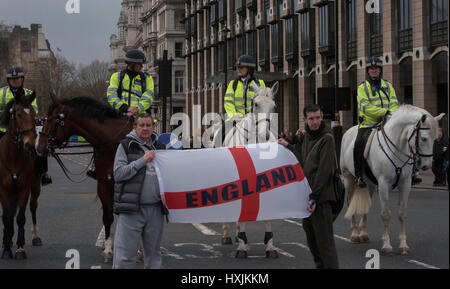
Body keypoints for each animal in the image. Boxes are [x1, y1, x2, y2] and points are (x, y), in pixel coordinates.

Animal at [36, 94, 133, 260]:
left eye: (53, 120)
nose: (40, 147)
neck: (113, 143)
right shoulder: (104, 183)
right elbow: (108, 215)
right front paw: (108, 248)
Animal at [211, 80, 278, 256]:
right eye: (256, 104)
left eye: (274, 106)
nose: (264, 136)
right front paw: (242, 246)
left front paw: (269, 246)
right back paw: (228, 235)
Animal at [342, 104, 442, 253]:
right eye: (424, 138)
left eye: (435, 138)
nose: (426, 165)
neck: (397, 148)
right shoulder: (384, 184)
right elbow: (385, 214)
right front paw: (387, 245)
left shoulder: (405, 184)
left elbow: (402, 214)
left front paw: (403, 245)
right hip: (348, 178)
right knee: (349, 203)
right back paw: (354, 234)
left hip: (370, 184)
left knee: (366, 205)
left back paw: (363, 234)